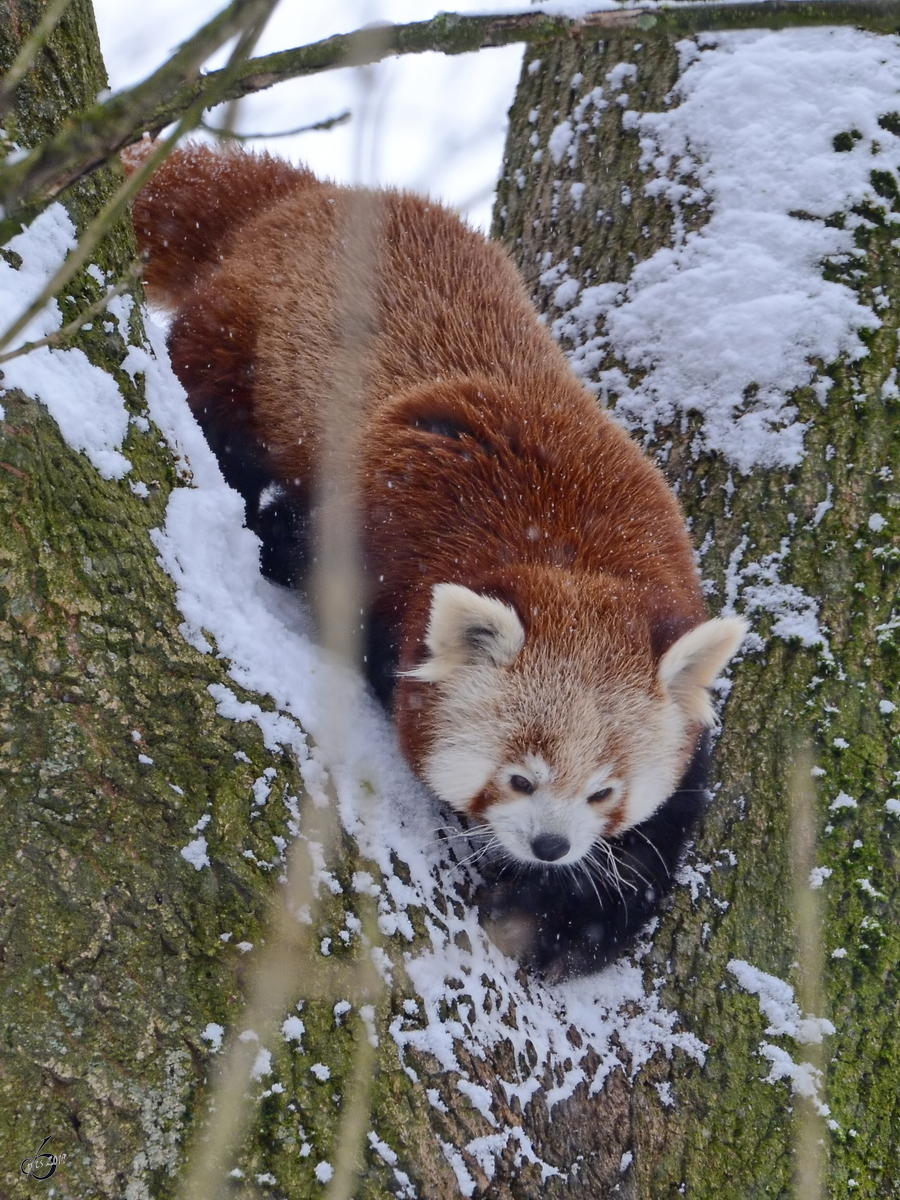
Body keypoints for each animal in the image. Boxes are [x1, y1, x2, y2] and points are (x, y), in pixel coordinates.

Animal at [125, 145, 748, 979]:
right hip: (242, 342)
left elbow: (662, 830)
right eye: (517, 778)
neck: (565, 551)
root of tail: (317, 193)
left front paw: (570, 920)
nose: (550, 846)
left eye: (604, 792)